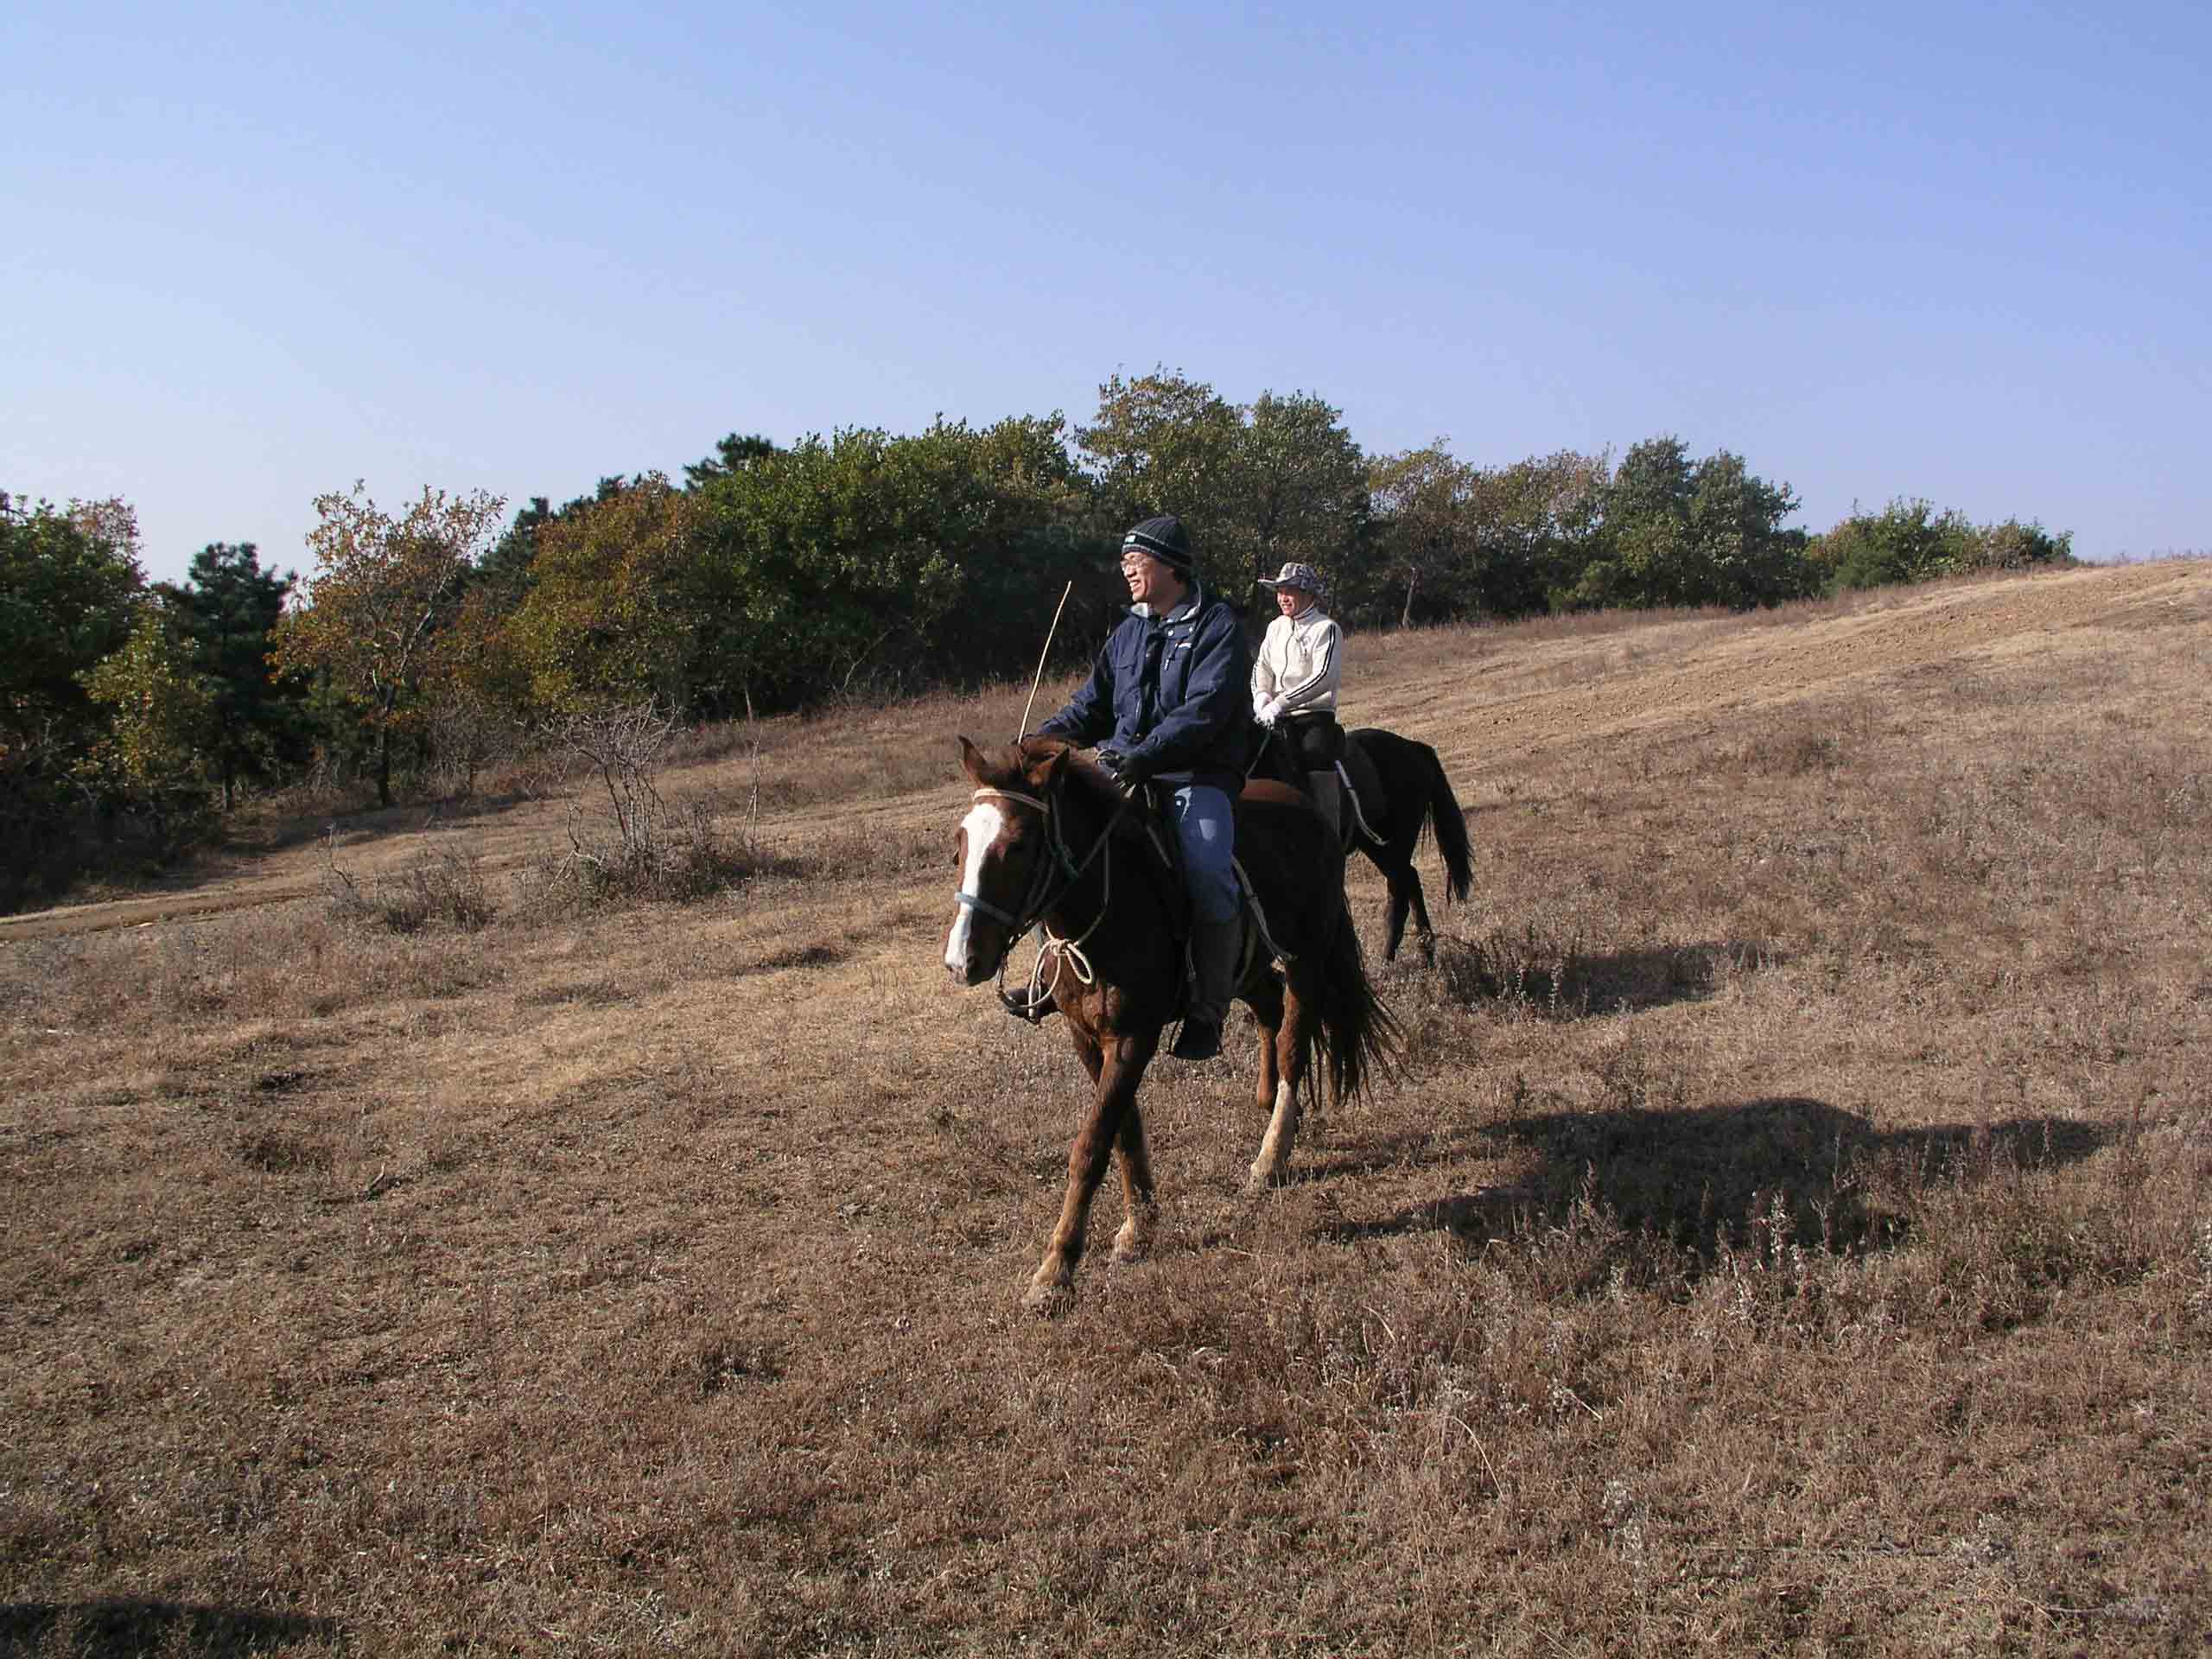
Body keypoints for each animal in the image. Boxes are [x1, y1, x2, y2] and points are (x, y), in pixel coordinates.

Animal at [938, 739, 1389, 1309]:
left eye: (1017, 845)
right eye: (960, 845)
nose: (962, 960)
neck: (1109, 905)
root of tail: (1311, 811)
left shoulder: (1133, 1038)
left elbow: (1091, 1144)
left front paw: (1057, 1267)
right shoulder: (1088, 1039)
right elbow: (1123, 1130)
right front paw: (1140, 1226)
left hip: (1308, 958)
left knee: (1293, 1040)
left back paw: (1272, 1151)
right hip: (1245, 970)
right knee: (1268, 1009)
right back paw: (1268, 1105)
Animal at [1256, 725, 1478, 960]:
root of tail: (1413, 746)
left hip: (1394, 843)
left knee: (1400, 890)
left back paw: (1393, 959)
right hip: (1376, 846)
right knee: (1409, 881)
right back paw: (1423, 950)